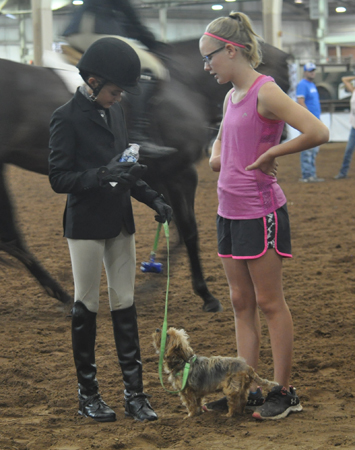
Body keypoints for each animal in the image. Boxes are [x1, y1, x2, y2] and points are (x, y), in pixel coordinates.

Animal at [0, 38, 290, 312]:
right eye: (284, 78)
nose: (283, 137)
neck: (186, 86)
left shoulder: (157, 174)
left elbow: (171, 221)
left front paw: (158, 270)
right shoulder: (181, 173)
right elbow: (189, 229)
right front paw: (205, 294)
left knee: (11, 237)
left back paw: (58, 291)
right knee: (11, 236)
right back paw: (60, 292)